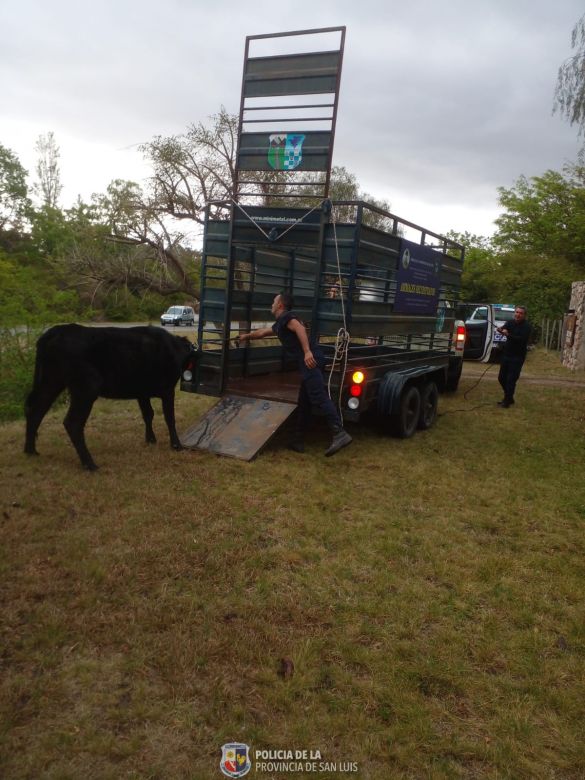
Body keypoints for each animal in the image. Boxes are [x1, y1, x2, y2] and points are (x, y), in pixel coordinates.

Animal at [24, 322, 194, 470]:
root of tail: (54, 332)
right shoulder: (167, 390)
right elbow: (169, 418)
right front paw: (176, 445)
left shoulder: (142, 392)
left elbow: (148, 414)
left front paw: (151, 439)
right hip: (86, 388)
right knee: (72, 422)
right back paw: (90, 464)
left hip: (51, 382)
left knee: (35, 411)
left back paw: (30, 450)